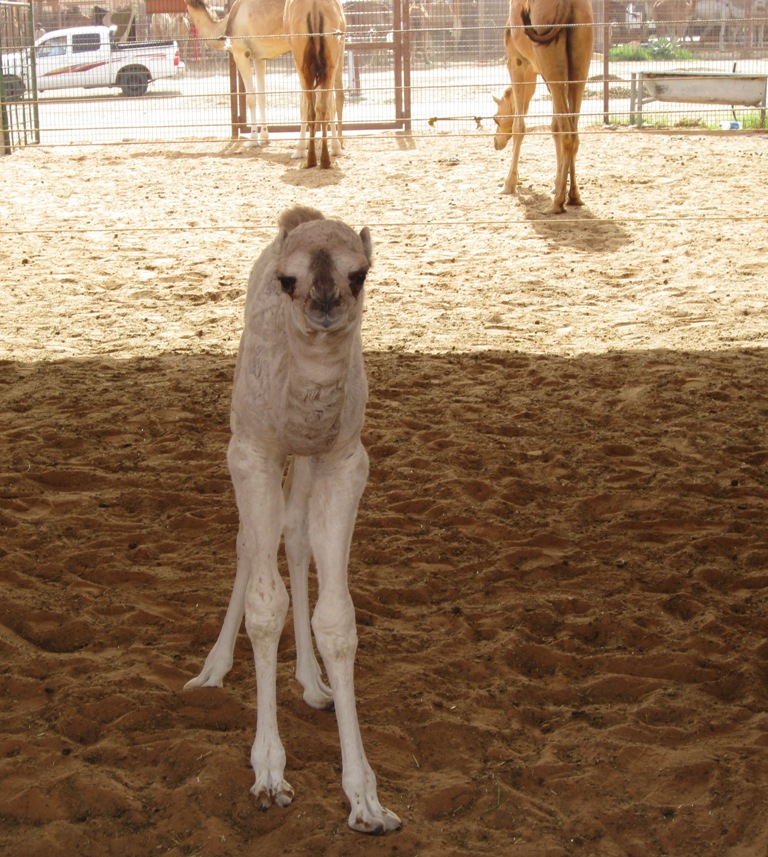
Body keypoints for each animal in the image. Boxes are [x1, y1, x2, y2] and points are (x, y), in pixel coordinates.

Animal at [185, 204, 402, 832]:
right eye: (288, 280)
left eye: (360, 274)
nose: (324, 303)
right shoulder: (252, 451)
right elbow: (265, 606)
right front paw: (268, 775)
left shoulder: (344, 459)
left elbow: (338, 619)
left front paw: (367, 801)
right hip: (255, 446)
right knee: (248, 542)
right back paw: (210, 671)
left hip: (304, 459)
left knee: (295, 535)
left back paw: (313, 684)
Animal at [492, 0, 592, 213]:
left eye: (495, 118)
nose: (496, 143)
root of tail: (568, 4)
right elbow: (555, 126)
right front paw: (555, 185)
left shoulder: (519, 63)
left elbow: (519, 126)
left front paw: (508, 184)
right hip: (579, 65)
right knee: (573, 131)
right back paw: (573, 196)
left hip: (548, 59)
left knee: (569, 133)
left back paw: (556, 204)